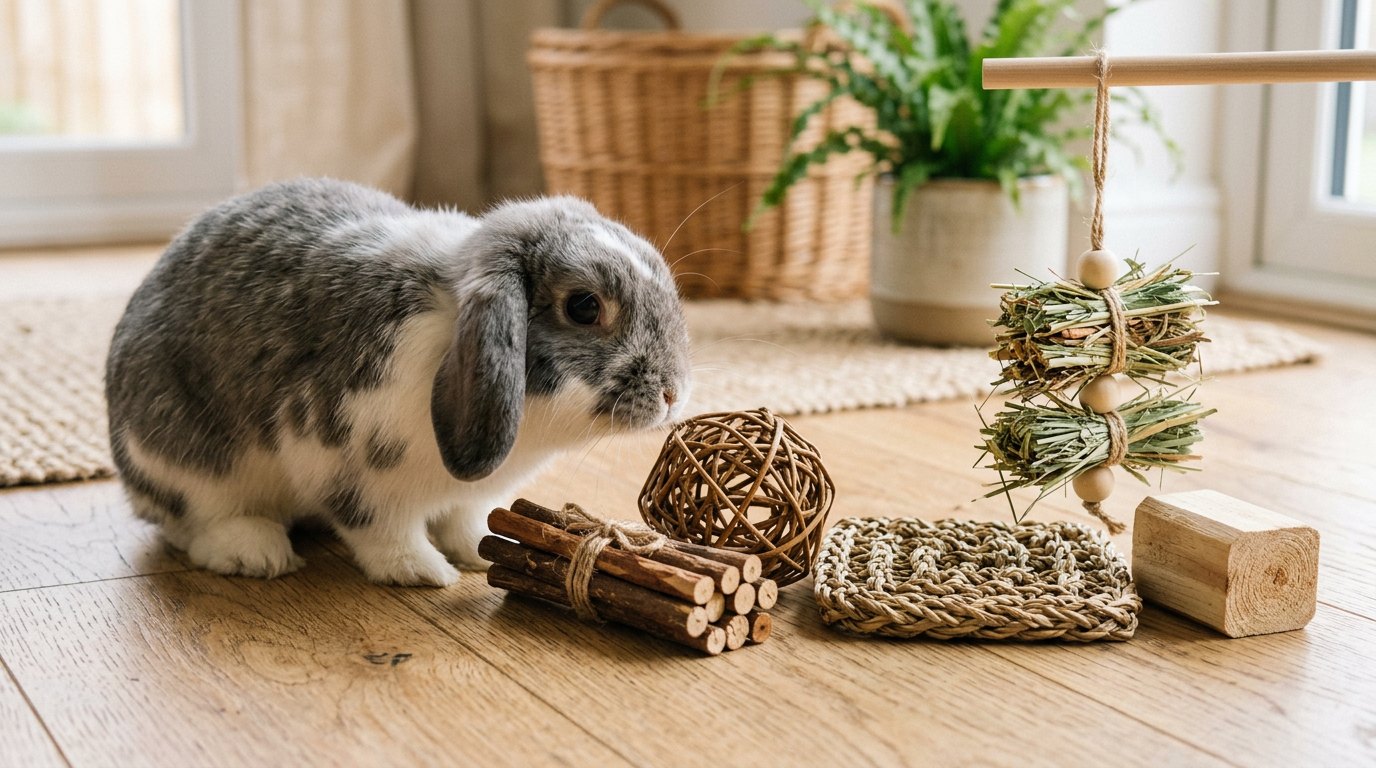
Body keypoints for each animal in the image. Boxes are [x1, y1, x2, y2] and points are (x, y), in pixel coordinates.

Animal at [105, 178, 692, 586]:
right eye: (585, 306)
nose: (672, 393)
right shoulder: (341, 463)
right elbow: (382, 531)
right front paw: (424, 572)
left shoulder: (467, 496)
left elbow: (464, 523)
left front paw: (477, 552)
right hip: (186, 460)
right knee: (191, 522)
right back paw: (255, 551)